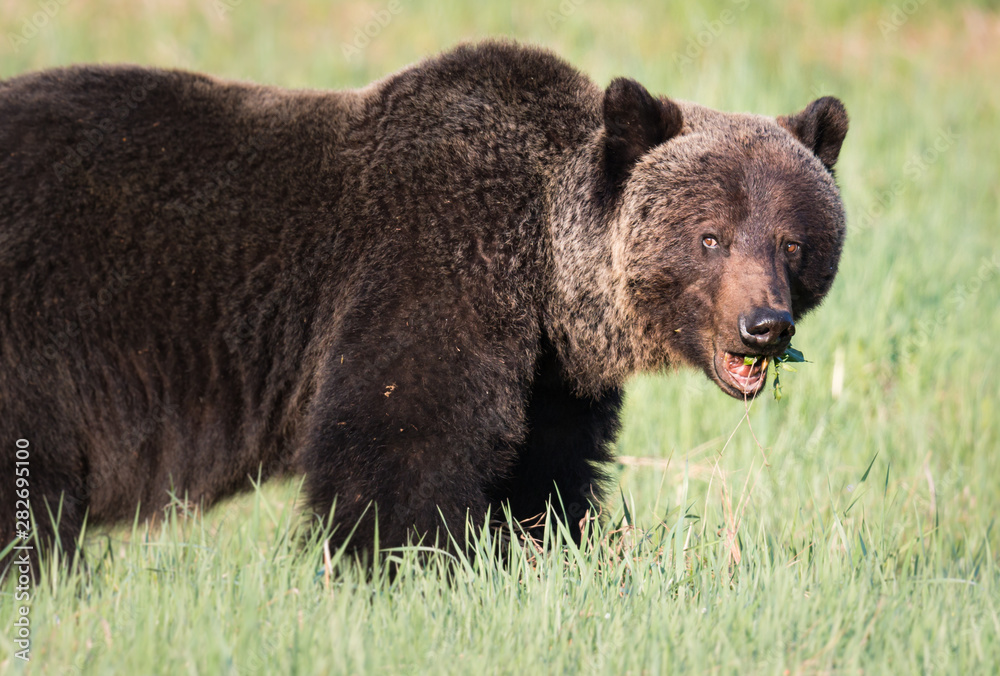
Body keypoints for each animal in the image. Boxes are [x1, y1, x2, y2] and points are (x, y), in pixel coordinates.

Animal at [0, 40, 848, 571]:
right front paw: (404, 564)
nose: (765, 326)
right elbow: (402, 436)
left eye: (792, 242)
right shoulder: (430, 263)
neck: (544, 267)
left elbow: (546, 474)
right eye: (710, 237)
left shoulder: (552, 374)